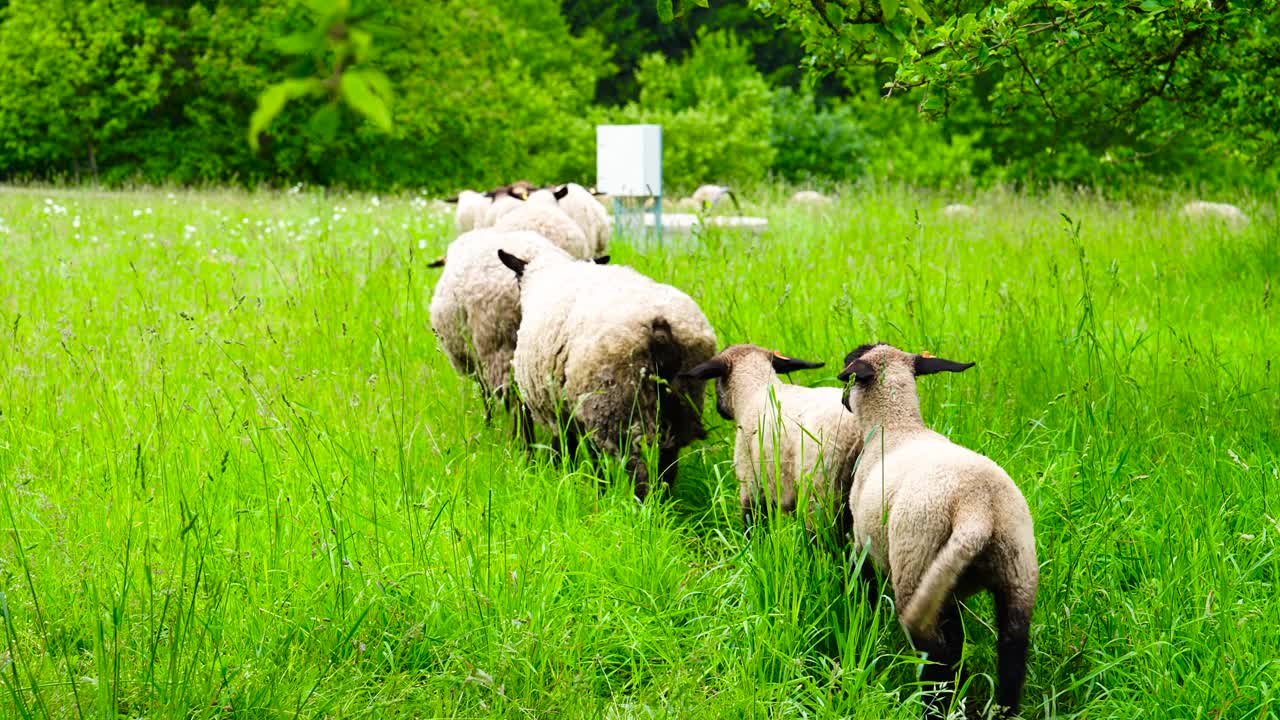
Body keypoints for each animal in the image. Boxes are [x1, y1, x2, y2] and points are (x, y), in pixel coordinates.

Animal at [496, 249, 721, 497]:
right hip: (680, 400)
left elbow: (569, 451)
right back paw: (663, 501)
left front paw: (581, 483)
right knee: (668, 464)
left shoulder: (560, 408)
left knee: (636, 468)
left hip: (614, 404)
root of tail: (660, 326)